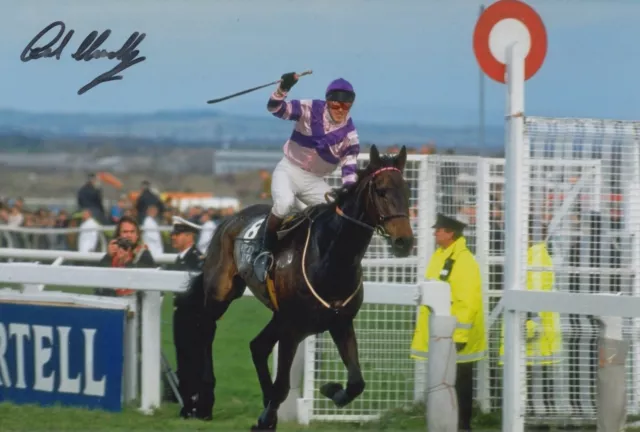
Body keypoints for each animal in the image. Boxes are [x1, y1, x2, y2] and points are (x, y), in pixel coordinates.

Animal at [189, 144, 416, 428]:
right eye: (381, 191)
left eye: (407, 191)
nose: (404, 242)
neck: (329, 256)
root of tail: (230, 219)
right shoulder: (293, 328)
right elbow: (283, 385)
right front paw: (265, 420)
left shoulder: (340, 322)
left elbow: (356, 382)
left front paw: (331, 389)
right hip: (221, 294)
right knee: (205, 331)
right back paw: (204, 400)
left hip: (278, 315)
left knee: (257, 346)